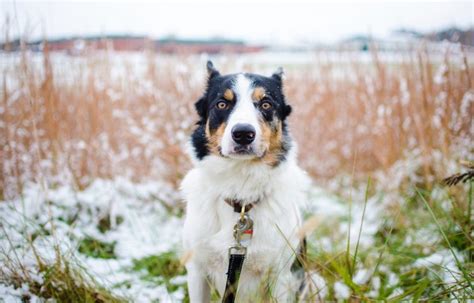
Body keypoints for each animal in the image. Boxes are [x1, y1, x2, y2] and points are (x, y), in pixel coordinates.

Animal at [181, 61, 312, 302]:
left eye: (266, 104)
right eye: (222, 104)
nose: (243, 134)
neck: (240, 196)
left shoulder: (282, 277)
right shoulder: (196, 270)